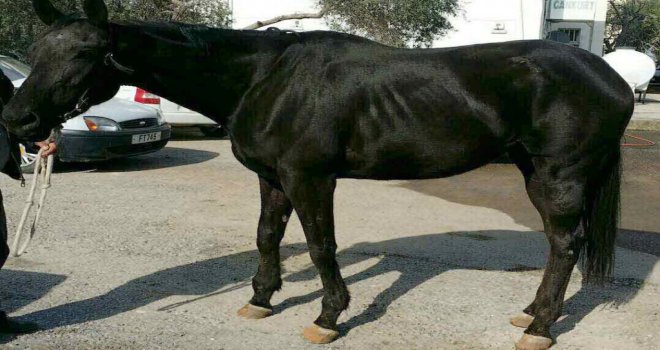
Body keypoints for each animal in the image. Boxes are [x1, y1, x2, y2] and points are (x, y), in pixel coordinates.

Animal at [2, 1, 636, 348]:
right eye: (37, 50)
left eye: (86, 56)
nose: (17, 119)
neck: (264, 78)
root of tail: (612, 78)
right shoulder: (272, 177)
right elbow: (267, 236)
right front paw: (260, 300)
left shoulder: (310, 178)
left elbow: (320, 245)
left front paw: (328, 317)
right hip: (535, 171)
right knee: (560, 246)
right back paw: (531, 312)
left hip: (559, 174)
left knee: (565, 244)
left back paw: (541, 328)